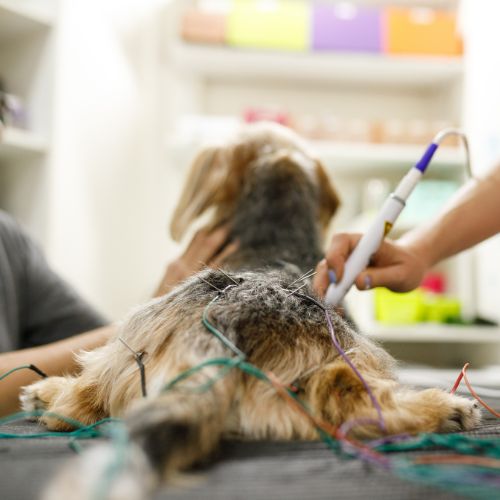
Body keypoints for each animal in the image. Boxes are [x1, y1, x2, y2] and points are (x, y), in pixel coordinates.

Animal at [19, 124, 480, 496]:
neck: (275, 239)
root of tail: (222, 326)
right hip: (338, 361)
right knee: (345, 399)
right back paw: (444, 410)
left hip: (128, 343)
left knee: (77, 404)